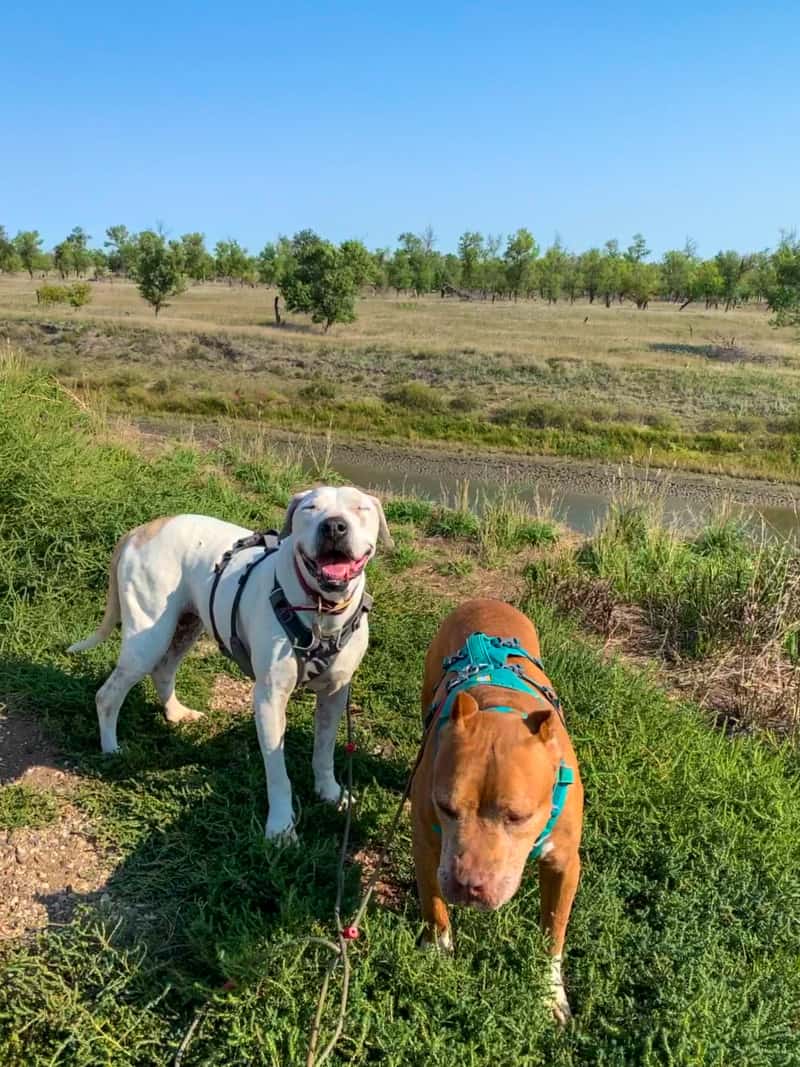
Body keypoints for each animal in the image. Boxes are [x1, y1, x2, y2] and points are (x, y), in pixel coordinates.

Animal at [67, 486, 392, 840]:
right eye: (310, 508)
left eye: (359, 508)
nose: (334, 526)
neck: (322, 611)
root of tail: (140, 530)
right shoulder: (269, 700)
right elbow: (278, 774)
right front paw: (280, 828)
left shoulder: (335, 693)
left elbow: (324, 750)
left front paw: (330, 793)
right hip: (147, 639)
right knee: (108, 695)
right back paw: (111, 750)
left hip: (186, 626)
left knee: (164, 670)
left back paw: (175, 713)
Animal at [413, 601, 584, 1024]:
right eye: (445, 806)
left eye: (517, 817)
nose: (469, 884)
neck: (500, 708)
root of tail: (484, 602)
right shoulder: (425, 841)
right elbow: (432, 901)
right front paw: (437, 949)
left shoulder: (565, 864)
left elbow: (553, 930)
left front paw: (548, 992)